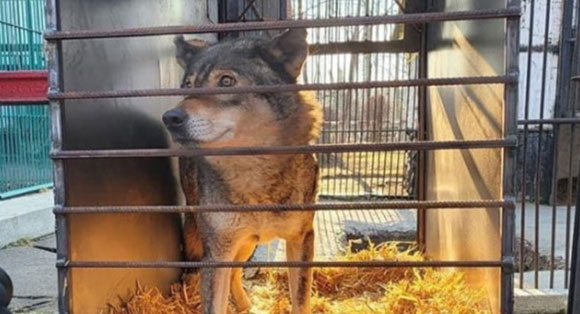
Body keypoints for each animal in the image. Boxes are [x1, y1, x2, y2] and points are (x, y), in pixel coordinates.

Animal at [162, 29, 322, 314]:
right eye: (188, 86)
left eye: (226, 81)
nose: (170, 118)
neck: (254, 173)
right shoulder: (217, 252)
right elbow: (214, 303)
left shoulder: (302, 239)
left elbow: (301, 301)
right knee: (232, 273)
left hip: (247, 243)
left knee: (236, 272)